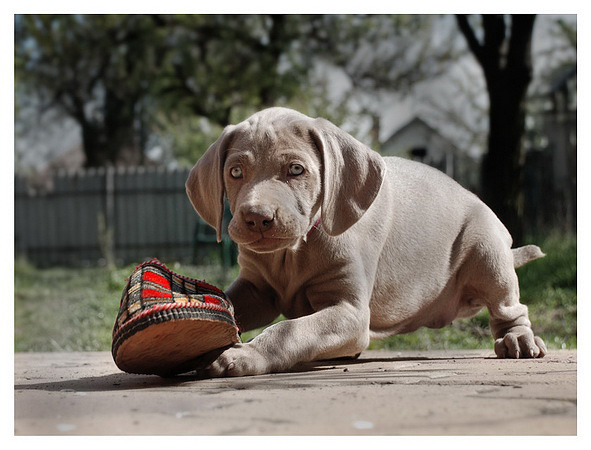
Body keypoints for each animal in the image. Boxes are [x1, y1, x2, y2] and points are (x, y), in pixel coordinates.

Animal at [186, 106, 552, 376]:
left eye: (296, 170)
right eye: (235, 172)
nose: (256, 217)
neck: (291, 253)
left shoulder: (349, 311)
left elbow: (290, 330)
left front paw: (244, 355)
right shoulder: (256, 288)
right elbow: (228, 303)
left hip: (487, 251)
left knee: (509, 308)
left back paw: (518, 339)